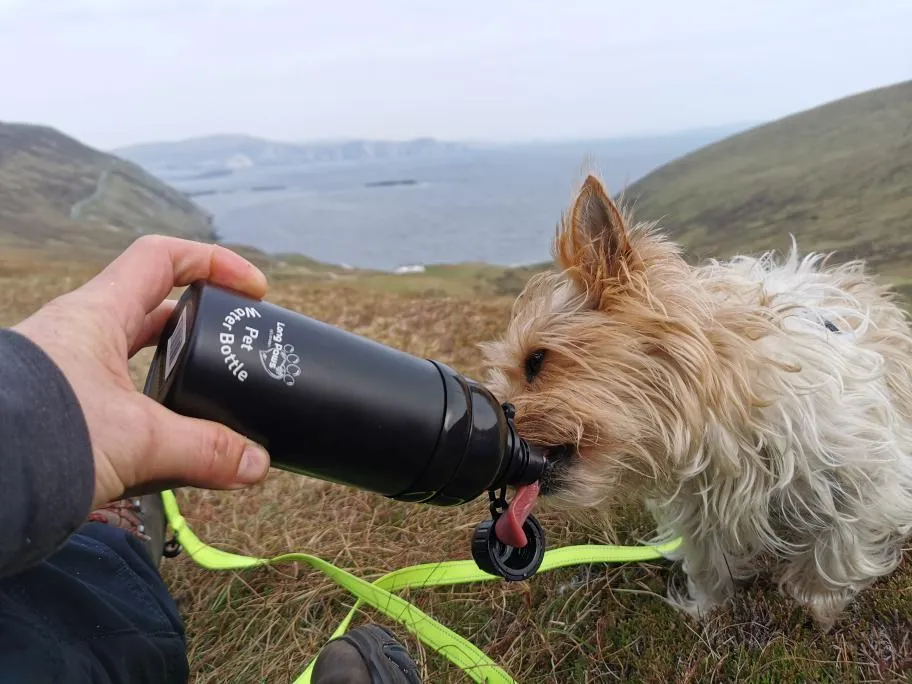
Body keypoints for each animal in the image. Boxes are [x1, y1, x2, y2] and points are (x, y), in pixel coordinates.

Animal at [488, 174, 912, 628]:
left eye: (536, 359)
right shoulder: (698, 507)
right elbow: (710, 559)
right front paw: (708, 610)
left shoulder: (868, 475)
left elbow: (838, 547)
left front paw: (815, 605)